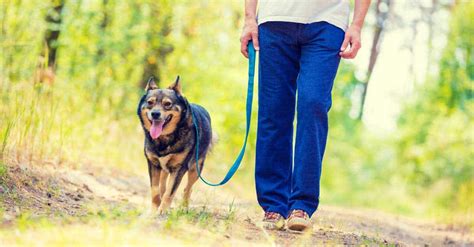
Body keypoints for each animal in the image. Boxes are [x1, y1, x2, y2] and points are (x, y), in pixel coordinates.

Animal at [136, 76, 212, 213]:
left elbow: (170, 192)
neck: (164, 139)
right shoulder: (153, 164)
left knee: (188, 188)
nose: (155, 114)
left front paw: (163, 210)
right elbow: (155, 189)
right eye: (150, 102)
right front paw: (155, 208)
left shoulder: (179, 168)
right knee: (163, 185)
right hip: (165, 168)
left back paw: (184, 207)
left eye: (167, 104)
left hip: (195, 168)